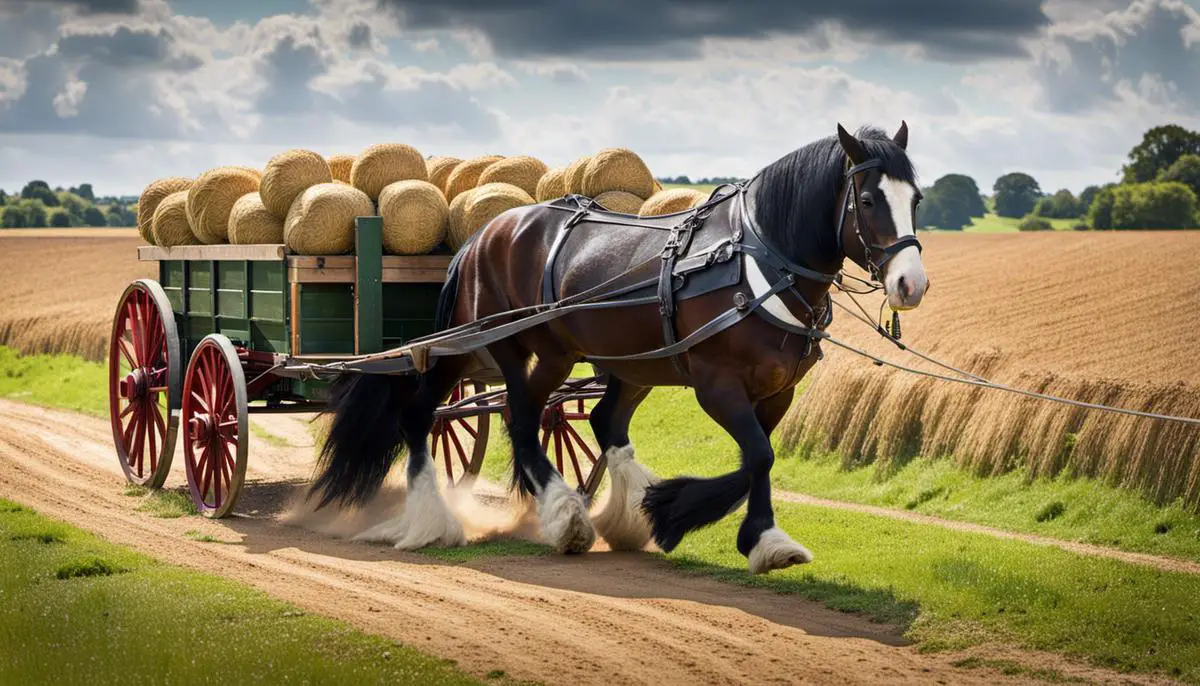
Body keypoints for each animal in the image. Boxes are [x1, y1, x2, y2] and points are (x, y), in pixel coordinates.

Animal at [309, 121, 926, 573]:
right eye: (868, 199)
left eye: (916, 198)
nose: (910, 284)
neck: (756, 261)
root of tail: (483, 233)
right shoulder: (716, 384)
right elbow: (757, 455)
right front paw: (714, 523)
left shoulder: (777, 391)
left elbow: (757, 458)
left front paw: (690, 516)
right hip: (504, 347)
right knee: (489, 417)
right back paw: (535, 519)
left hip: (609, 362)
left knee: (590, 420)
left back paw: (609, 514)